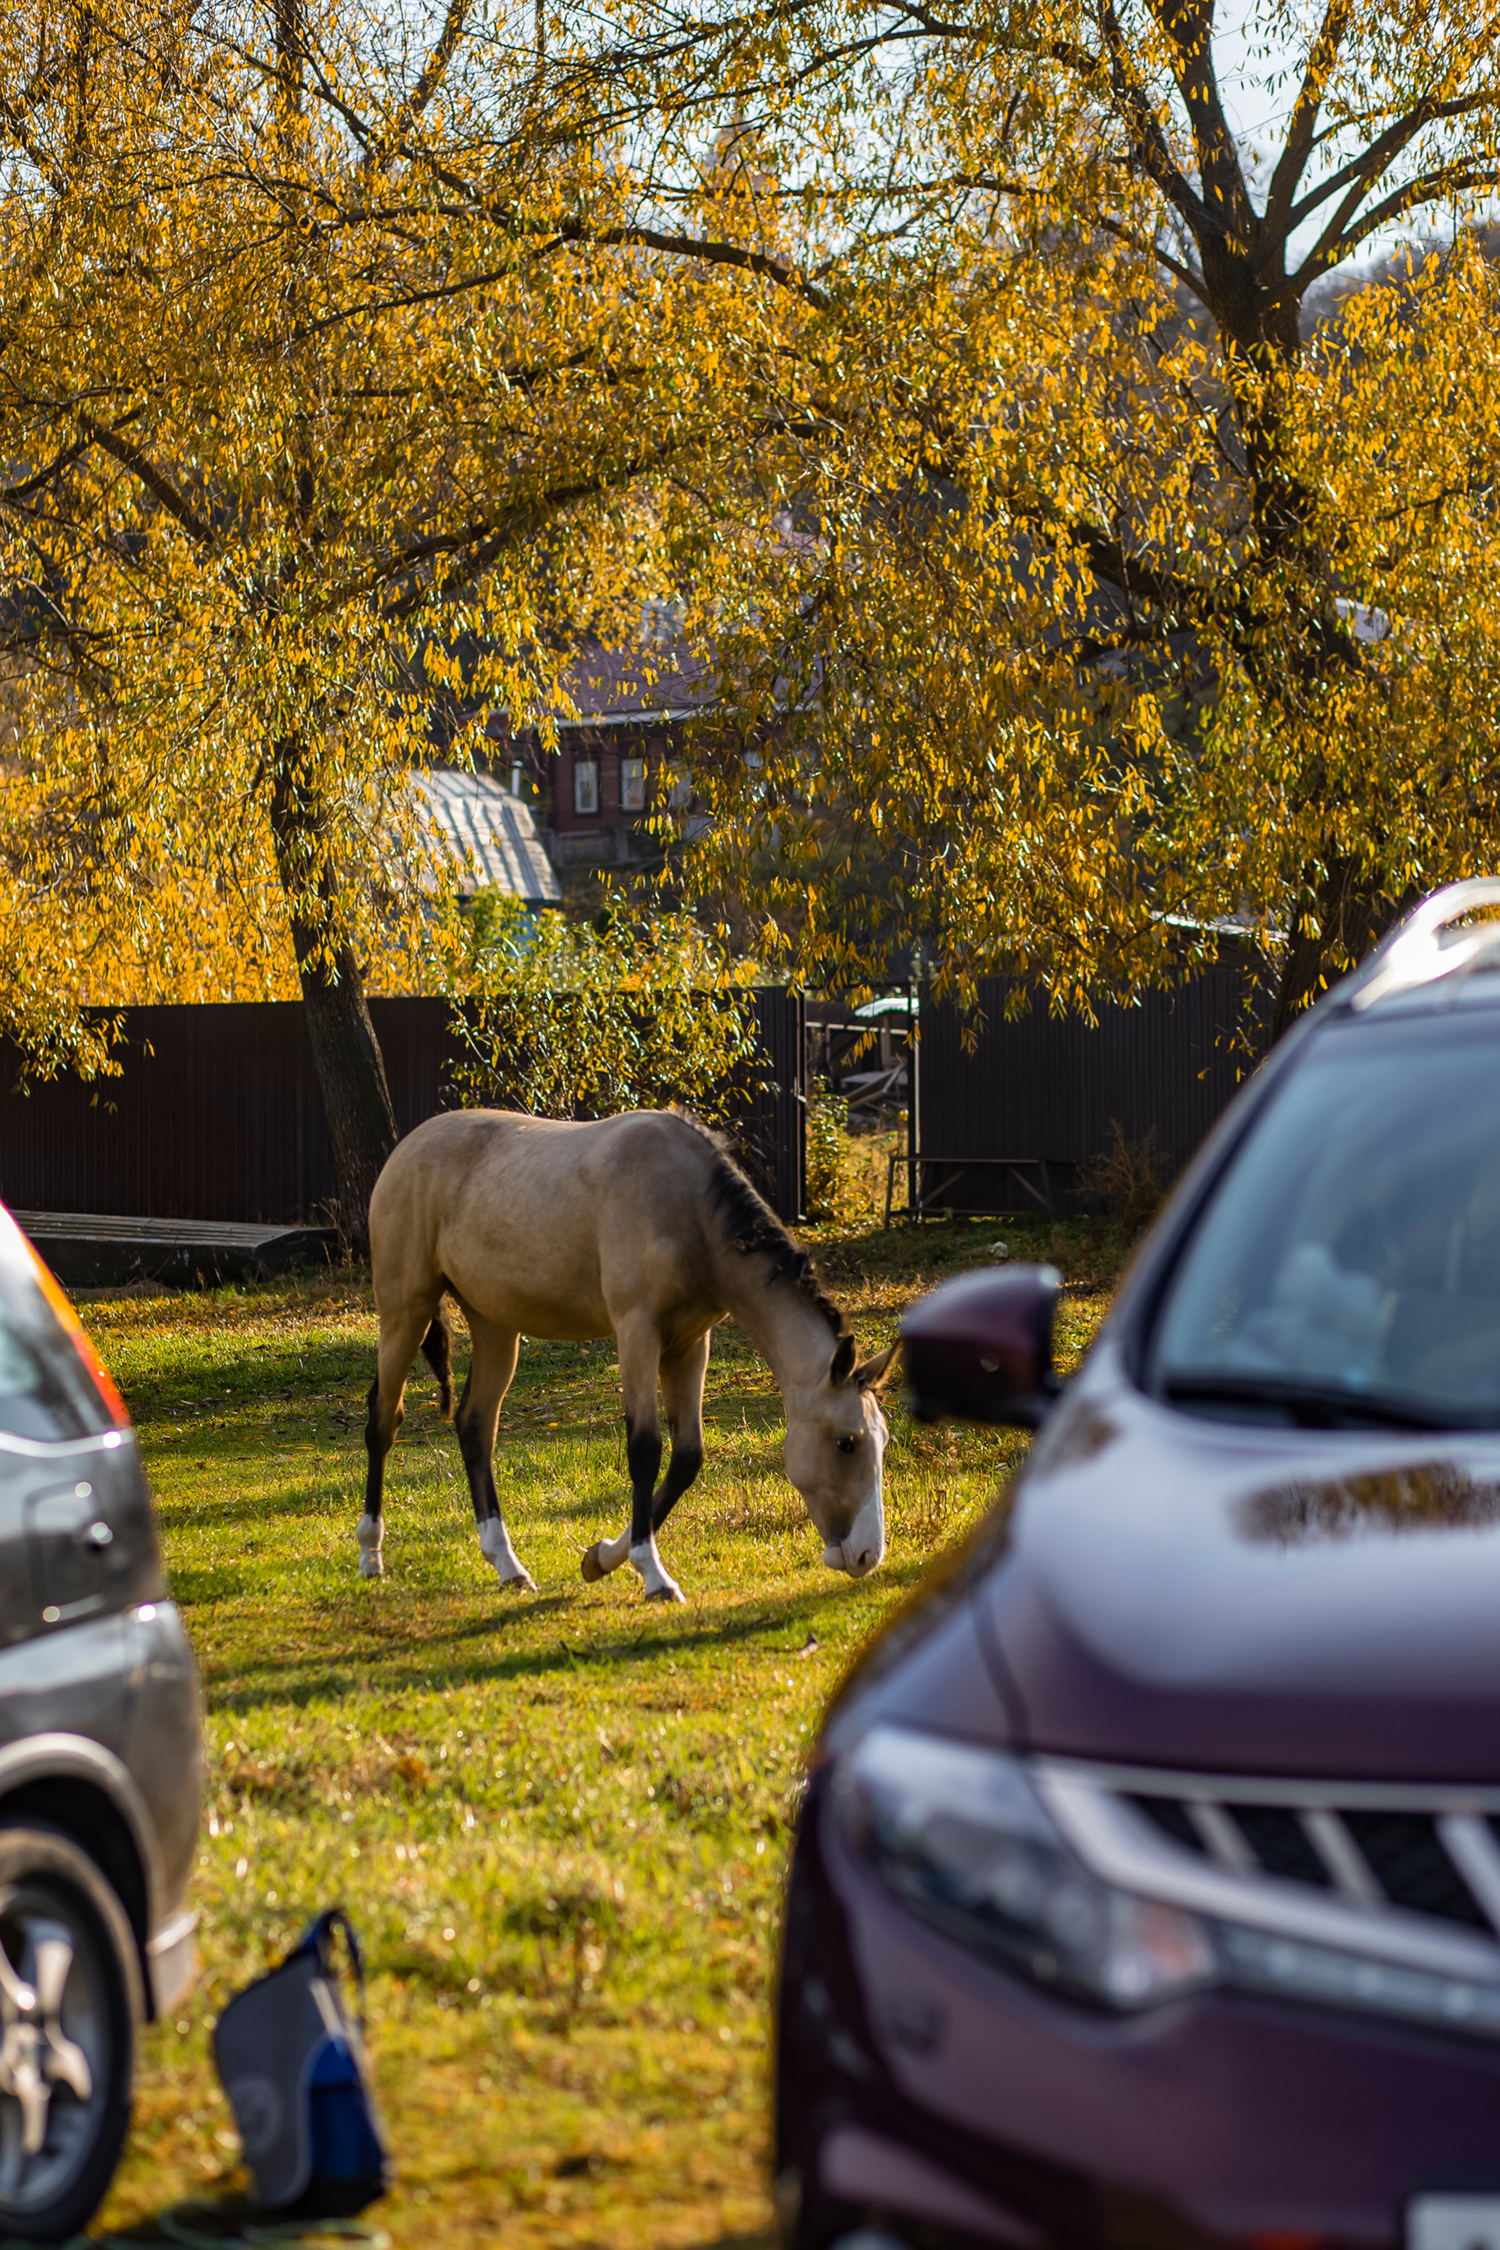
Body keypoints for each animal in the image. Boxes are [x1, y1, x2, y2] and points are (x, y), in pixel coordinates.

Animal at [357, 1107, 899, 1602]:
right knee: (383, 1421)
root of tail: (406, 1148)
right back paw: (370, 1555)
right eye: (846, 1443)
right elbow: (645, 1449)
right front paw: (653, 1574)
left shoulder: (688, 1345)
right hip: (405, 1311)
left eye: (883, 1442)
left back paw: (508, 1566)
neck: (688, 1207)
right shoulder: (637, 1333)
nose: (867, 1555)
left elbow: (687, 1457)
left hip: (495, 1327)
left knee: (475, 1427)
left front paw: (600, 1558)